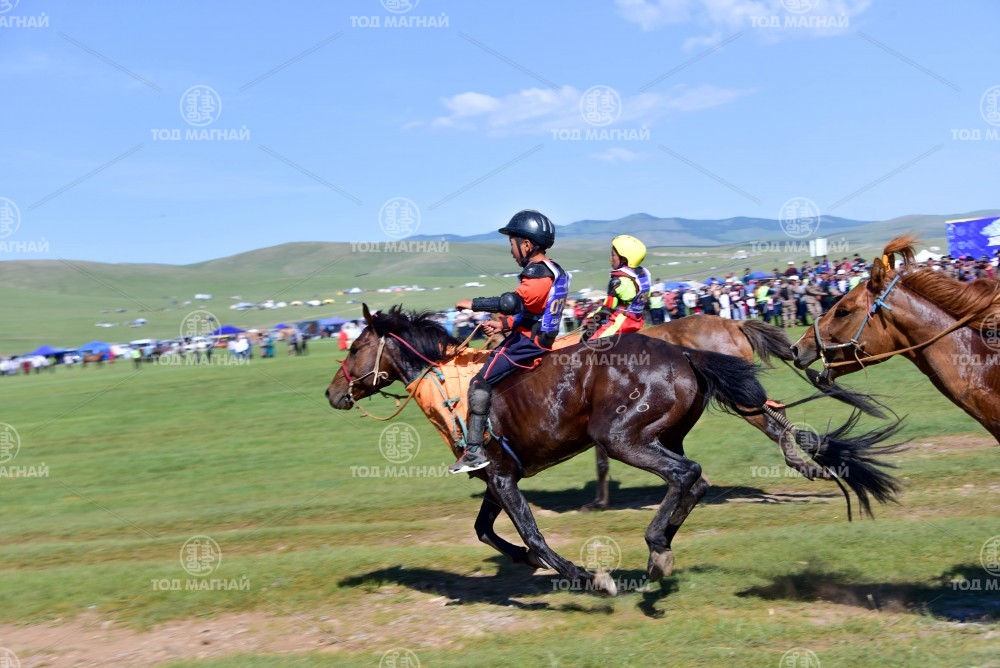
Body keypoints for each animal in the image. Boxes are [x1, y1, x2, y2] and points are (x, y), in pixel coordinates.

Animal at [327, 305, 903, 595]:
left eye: (355, 348)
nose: (332, 394)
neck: (450, 381)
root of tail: (686, 354)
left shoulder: (504, 477)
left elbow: (531, 534)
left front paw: (586, 575)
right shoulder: (498, 475)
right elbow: (486, 530)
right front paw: (524, 560)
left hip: (626, 437)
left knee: (694, 471)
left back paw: (658, 543)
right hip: (660, 434)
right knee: (698, 477)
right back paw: (663, 546)